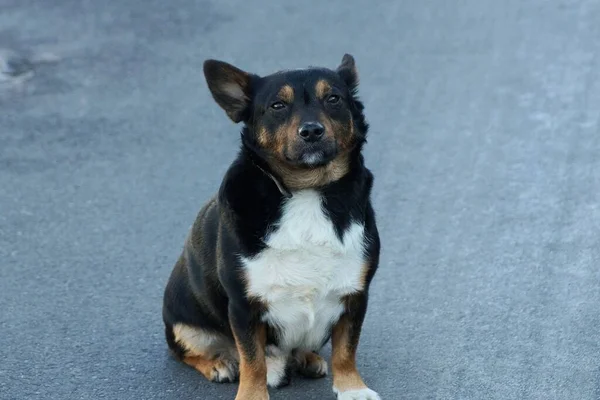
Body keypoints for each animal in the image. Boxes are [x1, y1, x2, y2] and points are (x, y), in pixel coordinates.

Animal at [162, 54, 382, 400]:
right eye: (278, 105)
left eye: (333, 98)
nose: (312, 131)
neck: (306, 190)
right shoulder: (243, 306)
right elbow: (253, 361)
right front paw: (252, 395)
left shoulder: (355, 295)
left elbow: (347, 349)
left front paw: (353, 389)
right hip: (185, 325)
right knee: (194, 352)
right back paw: (219, 363)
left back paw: (308, 358)